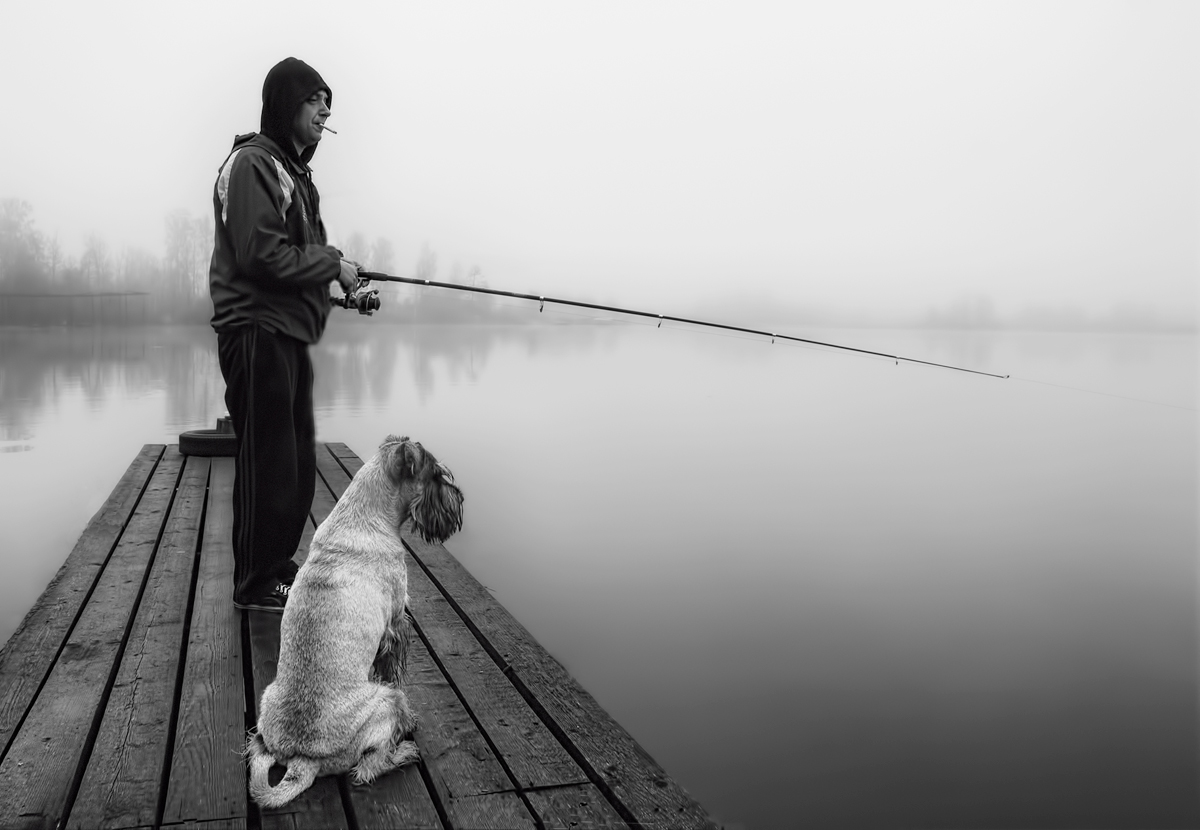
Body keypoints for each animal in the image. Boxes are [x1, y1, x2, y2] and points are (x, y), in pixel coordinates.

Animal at [246, 436, 460, 806]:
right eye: (434, 475)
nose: (458, 498)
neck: (362, 516)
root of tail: (304, 759)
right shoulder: (396, 621)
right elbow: (391, 670)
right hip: (388, 702)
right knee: (367, 767)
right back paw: (405, 750)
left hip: (267, 700)